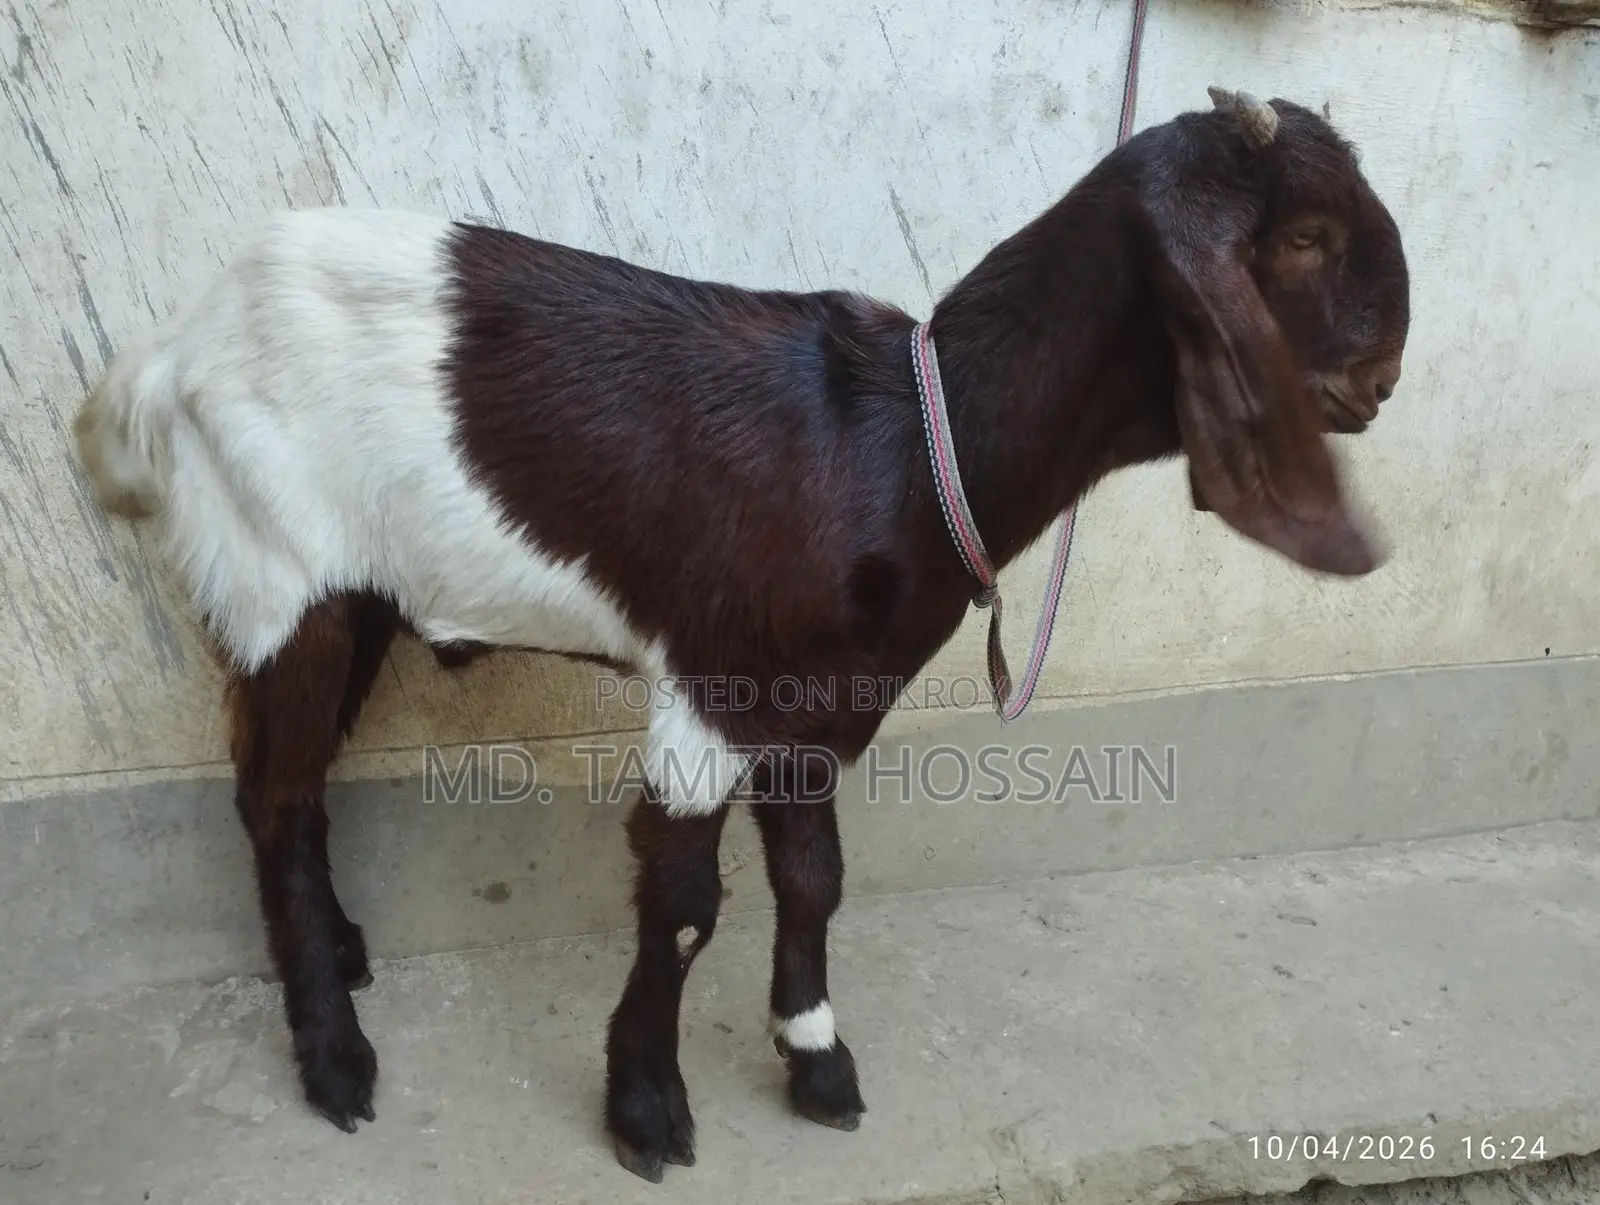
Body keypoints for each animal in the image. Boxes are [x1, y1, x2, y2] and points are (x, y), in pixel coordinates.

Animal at [73, 87, 1410, 1181]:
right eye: (1301, 237)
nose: (1385, 377)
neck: (906, 442)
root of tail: (170, 352)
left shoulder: (826, 700)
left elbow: (814, 877)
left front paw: (815, 1055)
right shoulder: (711, 687)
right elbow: (682, 903)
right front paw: (645, 1107)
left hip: (355, 597)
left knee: (289, 787)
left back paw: (343, 956)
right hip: (280, 574)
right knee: (275, 792)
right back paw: (334, 1056)